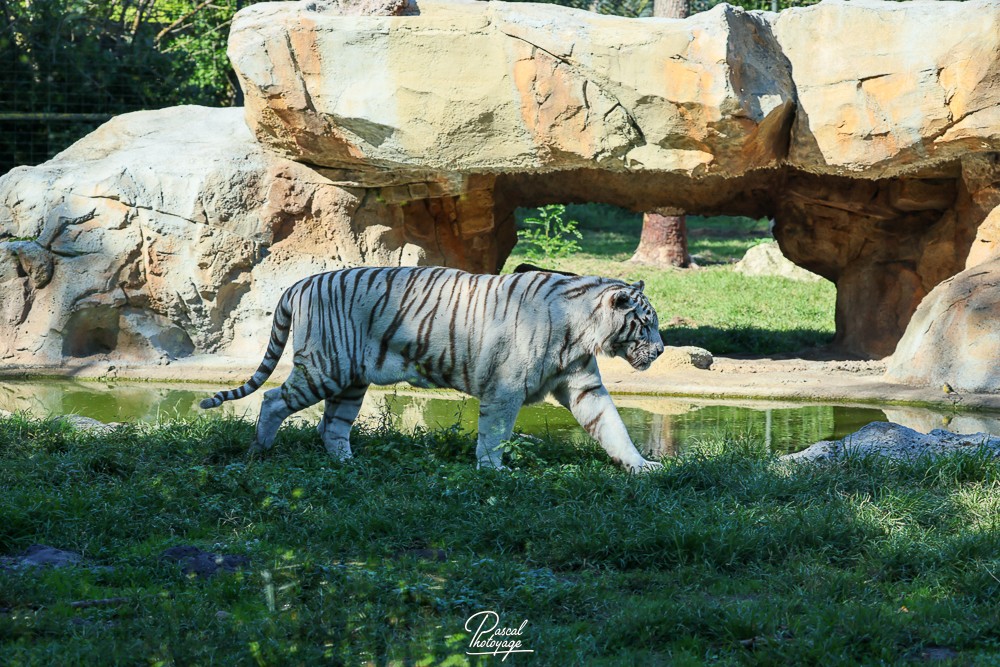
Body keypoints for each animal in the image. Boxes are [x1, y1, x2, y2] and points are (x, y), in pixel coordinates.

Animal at [200, 266, 665, 472]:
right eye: (646, 324)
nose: (661, 351)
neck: (582, 331)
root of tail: (300, 282)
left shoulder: (585, 387)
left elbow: (613, 427)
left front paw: (641, 466)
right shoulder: (505, 389)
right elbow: (494, 435)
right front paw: (493, 472)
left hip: (350, 380)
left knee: (331, 426)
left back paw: (350, 465)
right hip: (324, 367)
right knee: (272, 399)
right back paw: (259, 452)